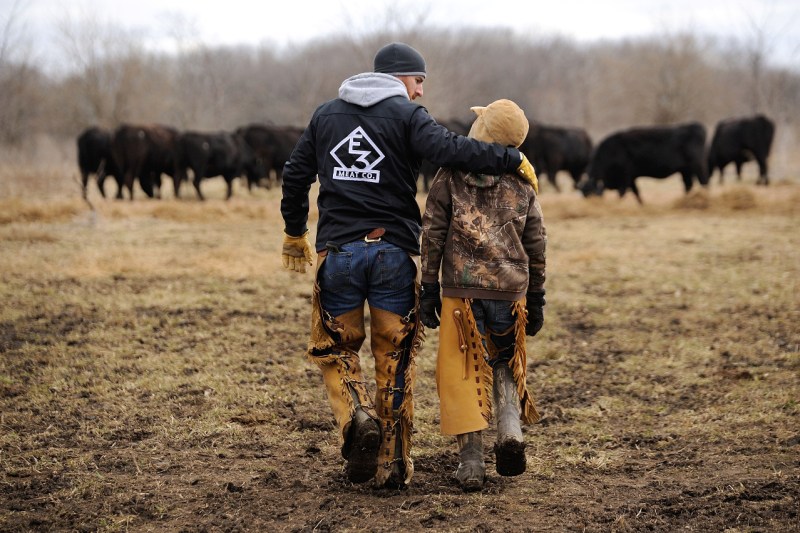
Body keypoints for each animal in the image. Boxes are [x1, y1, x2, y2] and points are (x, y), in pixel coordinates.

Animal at [580, 122, 708, 204]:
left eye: (591, 194)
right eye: (585, 195)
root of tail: (695, 126)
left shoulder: (625, 177)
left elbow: (622, 193)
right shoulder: (631, 179)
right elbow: (636, 192)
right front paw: (642, 205)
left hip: (697, 166)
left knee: (703, 182)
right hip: (685, 170)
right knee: (688, 185)